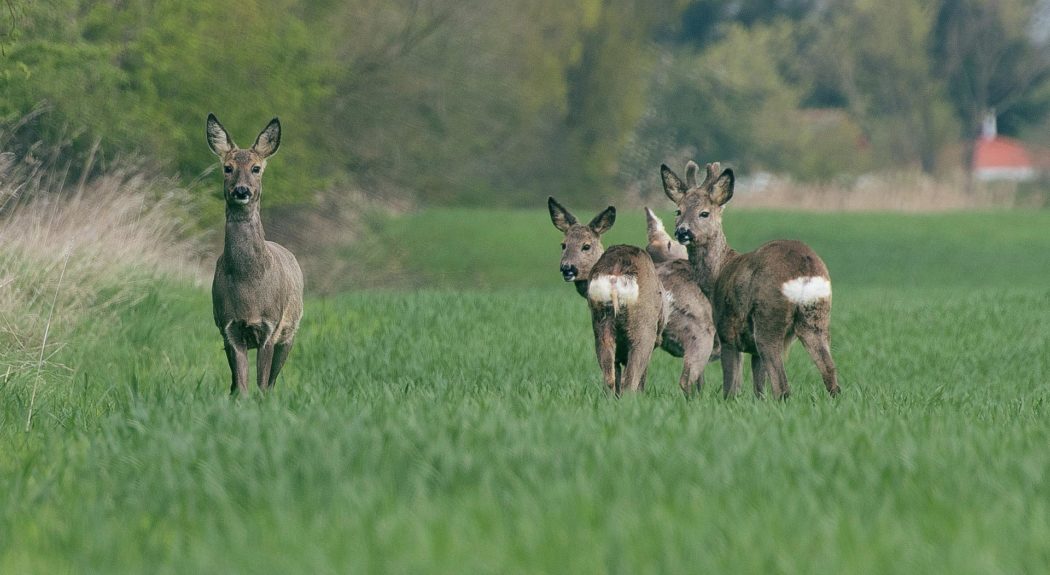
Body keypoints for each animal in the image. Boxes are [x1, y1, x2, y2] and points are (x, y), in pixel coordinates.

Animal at [205, 113, 304, 396]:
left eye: (256, 168)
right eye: (227, 167)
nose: (241, 191)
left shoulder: (270, 327)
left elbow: (261, 386)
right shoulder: (228, 328)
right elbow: (241, 387)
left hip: (290, 333)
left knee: (271, 382)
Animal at [548, 198, 718, 395]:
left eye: (586, 246)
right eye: (564, 245)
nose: (567, 268)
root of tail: (616, 275)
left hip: (601, 325)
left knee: (609, 379)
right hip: (647, 328)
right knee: (635, 382)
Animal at [661, 161, 840, 400]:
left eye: (704, 213)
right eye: (678, 210)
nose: (682, 231)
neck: (717, 273)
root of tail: (805, 268)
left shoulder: (727, 331)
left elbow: (731, 388)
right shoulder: (752, 349)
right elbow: (758, 390)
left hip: (768, 318)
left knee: (782, 386)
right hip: (817, 318)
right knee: (830, 373)